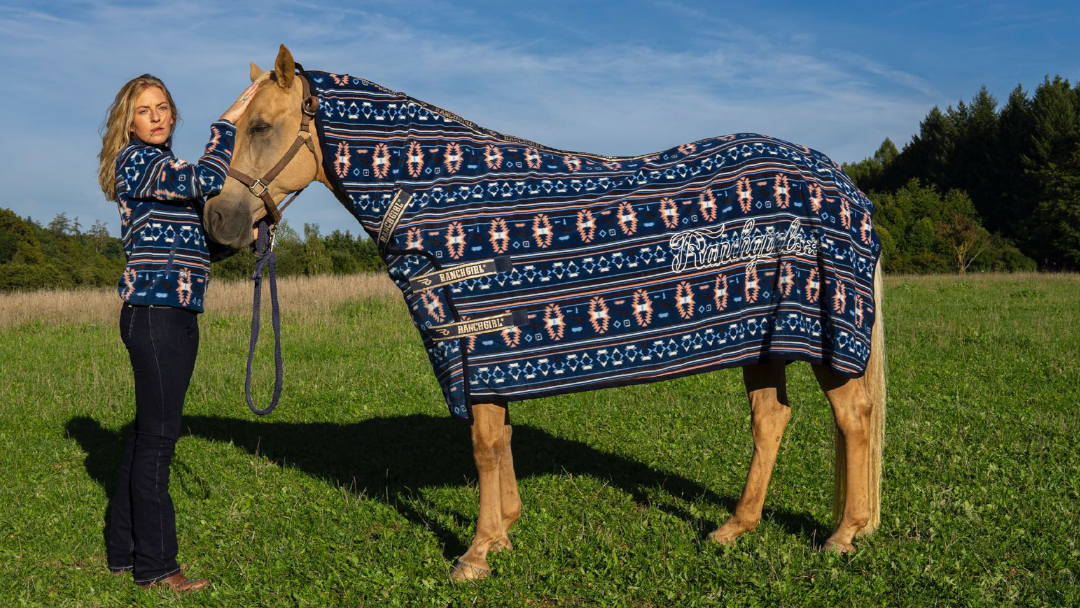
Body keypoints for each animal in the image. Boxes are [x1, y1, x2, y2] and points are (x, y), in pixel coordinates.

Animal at [203, 45, 886, 581]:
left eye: (261, 126)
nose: (218, 221)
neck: (433, 196)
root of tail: (843, 181)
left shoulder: (475, 343)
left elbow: (483, 444)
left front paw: (477, 553)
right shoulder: (492, 355)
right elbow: (499, 438)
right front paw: (504, 529)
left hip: (826, 337)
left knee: (853, 418)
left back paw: (844, 536)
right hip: (764, 340)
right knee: (771, 421)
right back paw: (734, 528)